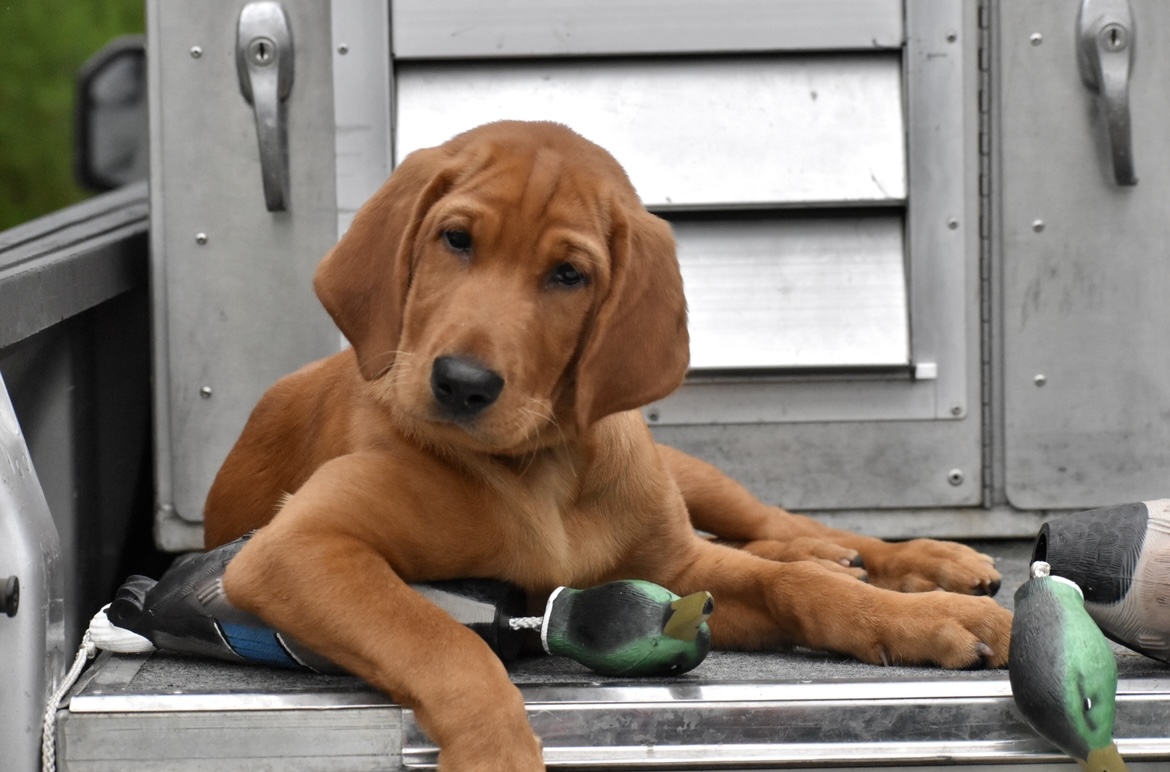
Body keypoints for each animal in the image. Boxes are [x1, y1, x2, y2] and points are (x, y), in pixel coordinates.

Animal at [210, 119, 1015, 767]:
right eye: (455, 239)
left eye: (569, 275)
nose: (462, 383)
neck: (543, 470)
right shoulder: (297, 548)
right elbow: (444, 641)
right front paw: (497, 752)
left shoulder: (679, 567)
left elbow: (795, 586)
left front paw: (924, 617)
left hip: (696, 482)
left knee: (787, 531)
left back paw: (921, 562)